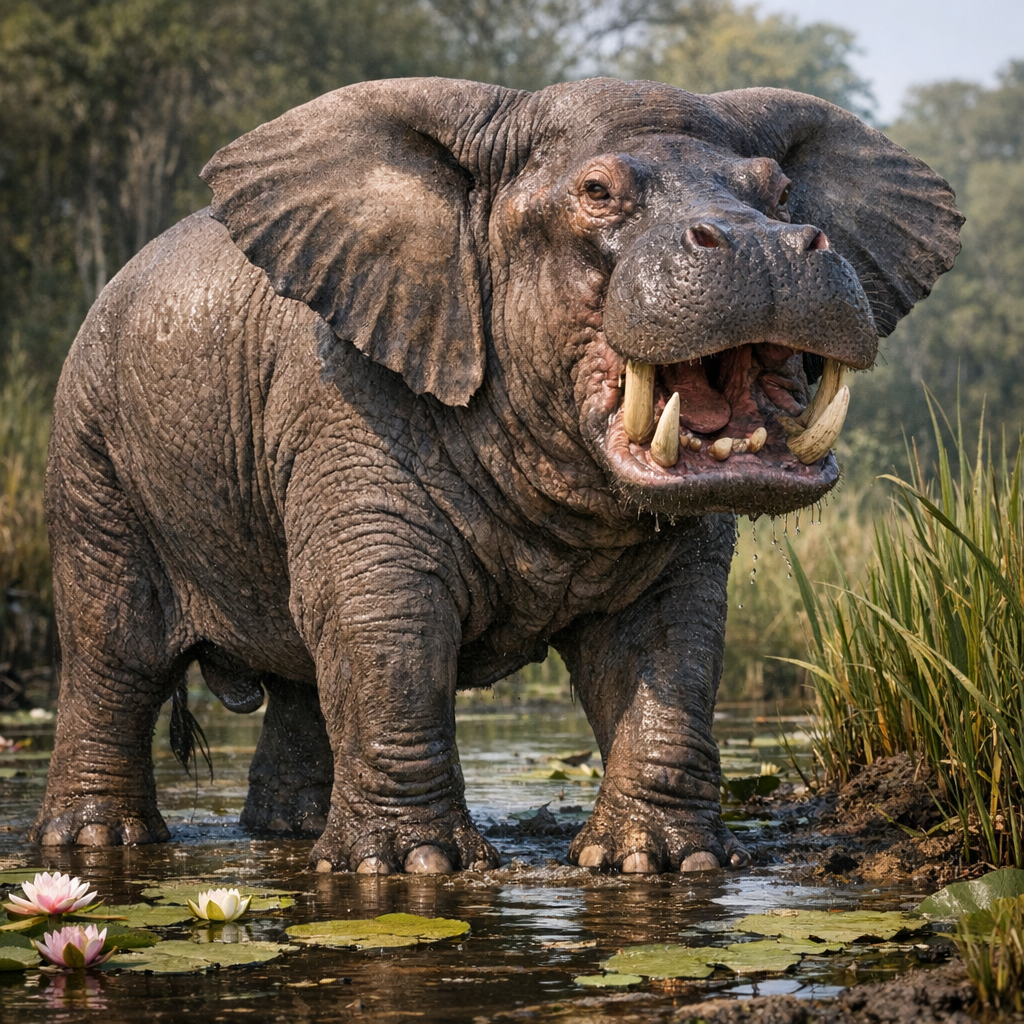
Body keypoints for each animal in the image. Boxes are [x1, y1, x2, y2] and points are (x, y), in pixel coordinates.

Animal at [33, 77, 962, 875]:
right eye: (597, 192)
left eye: (779, 193)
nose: (771, 245)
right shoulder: (342, 401)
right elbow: (383, 612)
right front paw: (408, 870)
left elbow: (669, 635)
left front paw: (663, 863)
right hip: (89, 448)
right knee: (115, 646)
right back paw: (96, 847)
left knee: (297, 673)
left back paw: (291, 834)